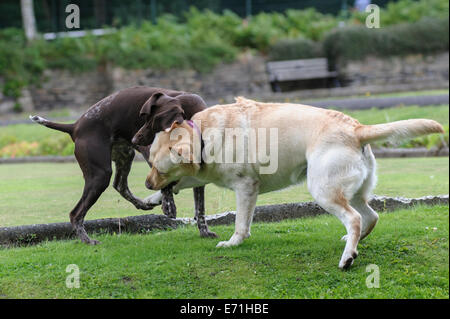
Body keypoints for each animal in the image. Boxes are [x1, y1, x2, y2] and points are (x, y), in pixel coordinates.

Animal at [29, 85, 216, 245]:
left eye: (152, 121)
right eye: (144, 118)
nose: (134, 139)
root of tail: (74, 126)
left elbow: (200, 208)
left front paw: (204, 231)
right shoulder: (150, 153)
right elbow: (167, 184)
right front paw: (168, 205)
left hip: (125, 156)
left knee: (120, 185)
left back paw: (143, 203)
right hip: (100, 175)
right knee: (76, 214)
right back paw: (87, 240)